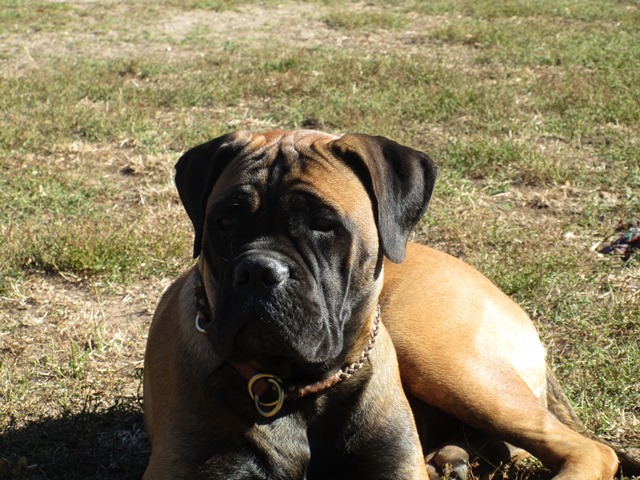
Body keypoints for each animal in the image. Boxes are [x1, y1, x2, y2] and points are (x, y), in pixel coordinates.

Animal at [143, 130, 639, 479]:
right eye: (224, 222)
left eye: (323, 224)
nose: (258, 271)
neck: (293, 387)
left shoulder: (393, 464)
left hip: (450, 364)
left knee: (586, 449)